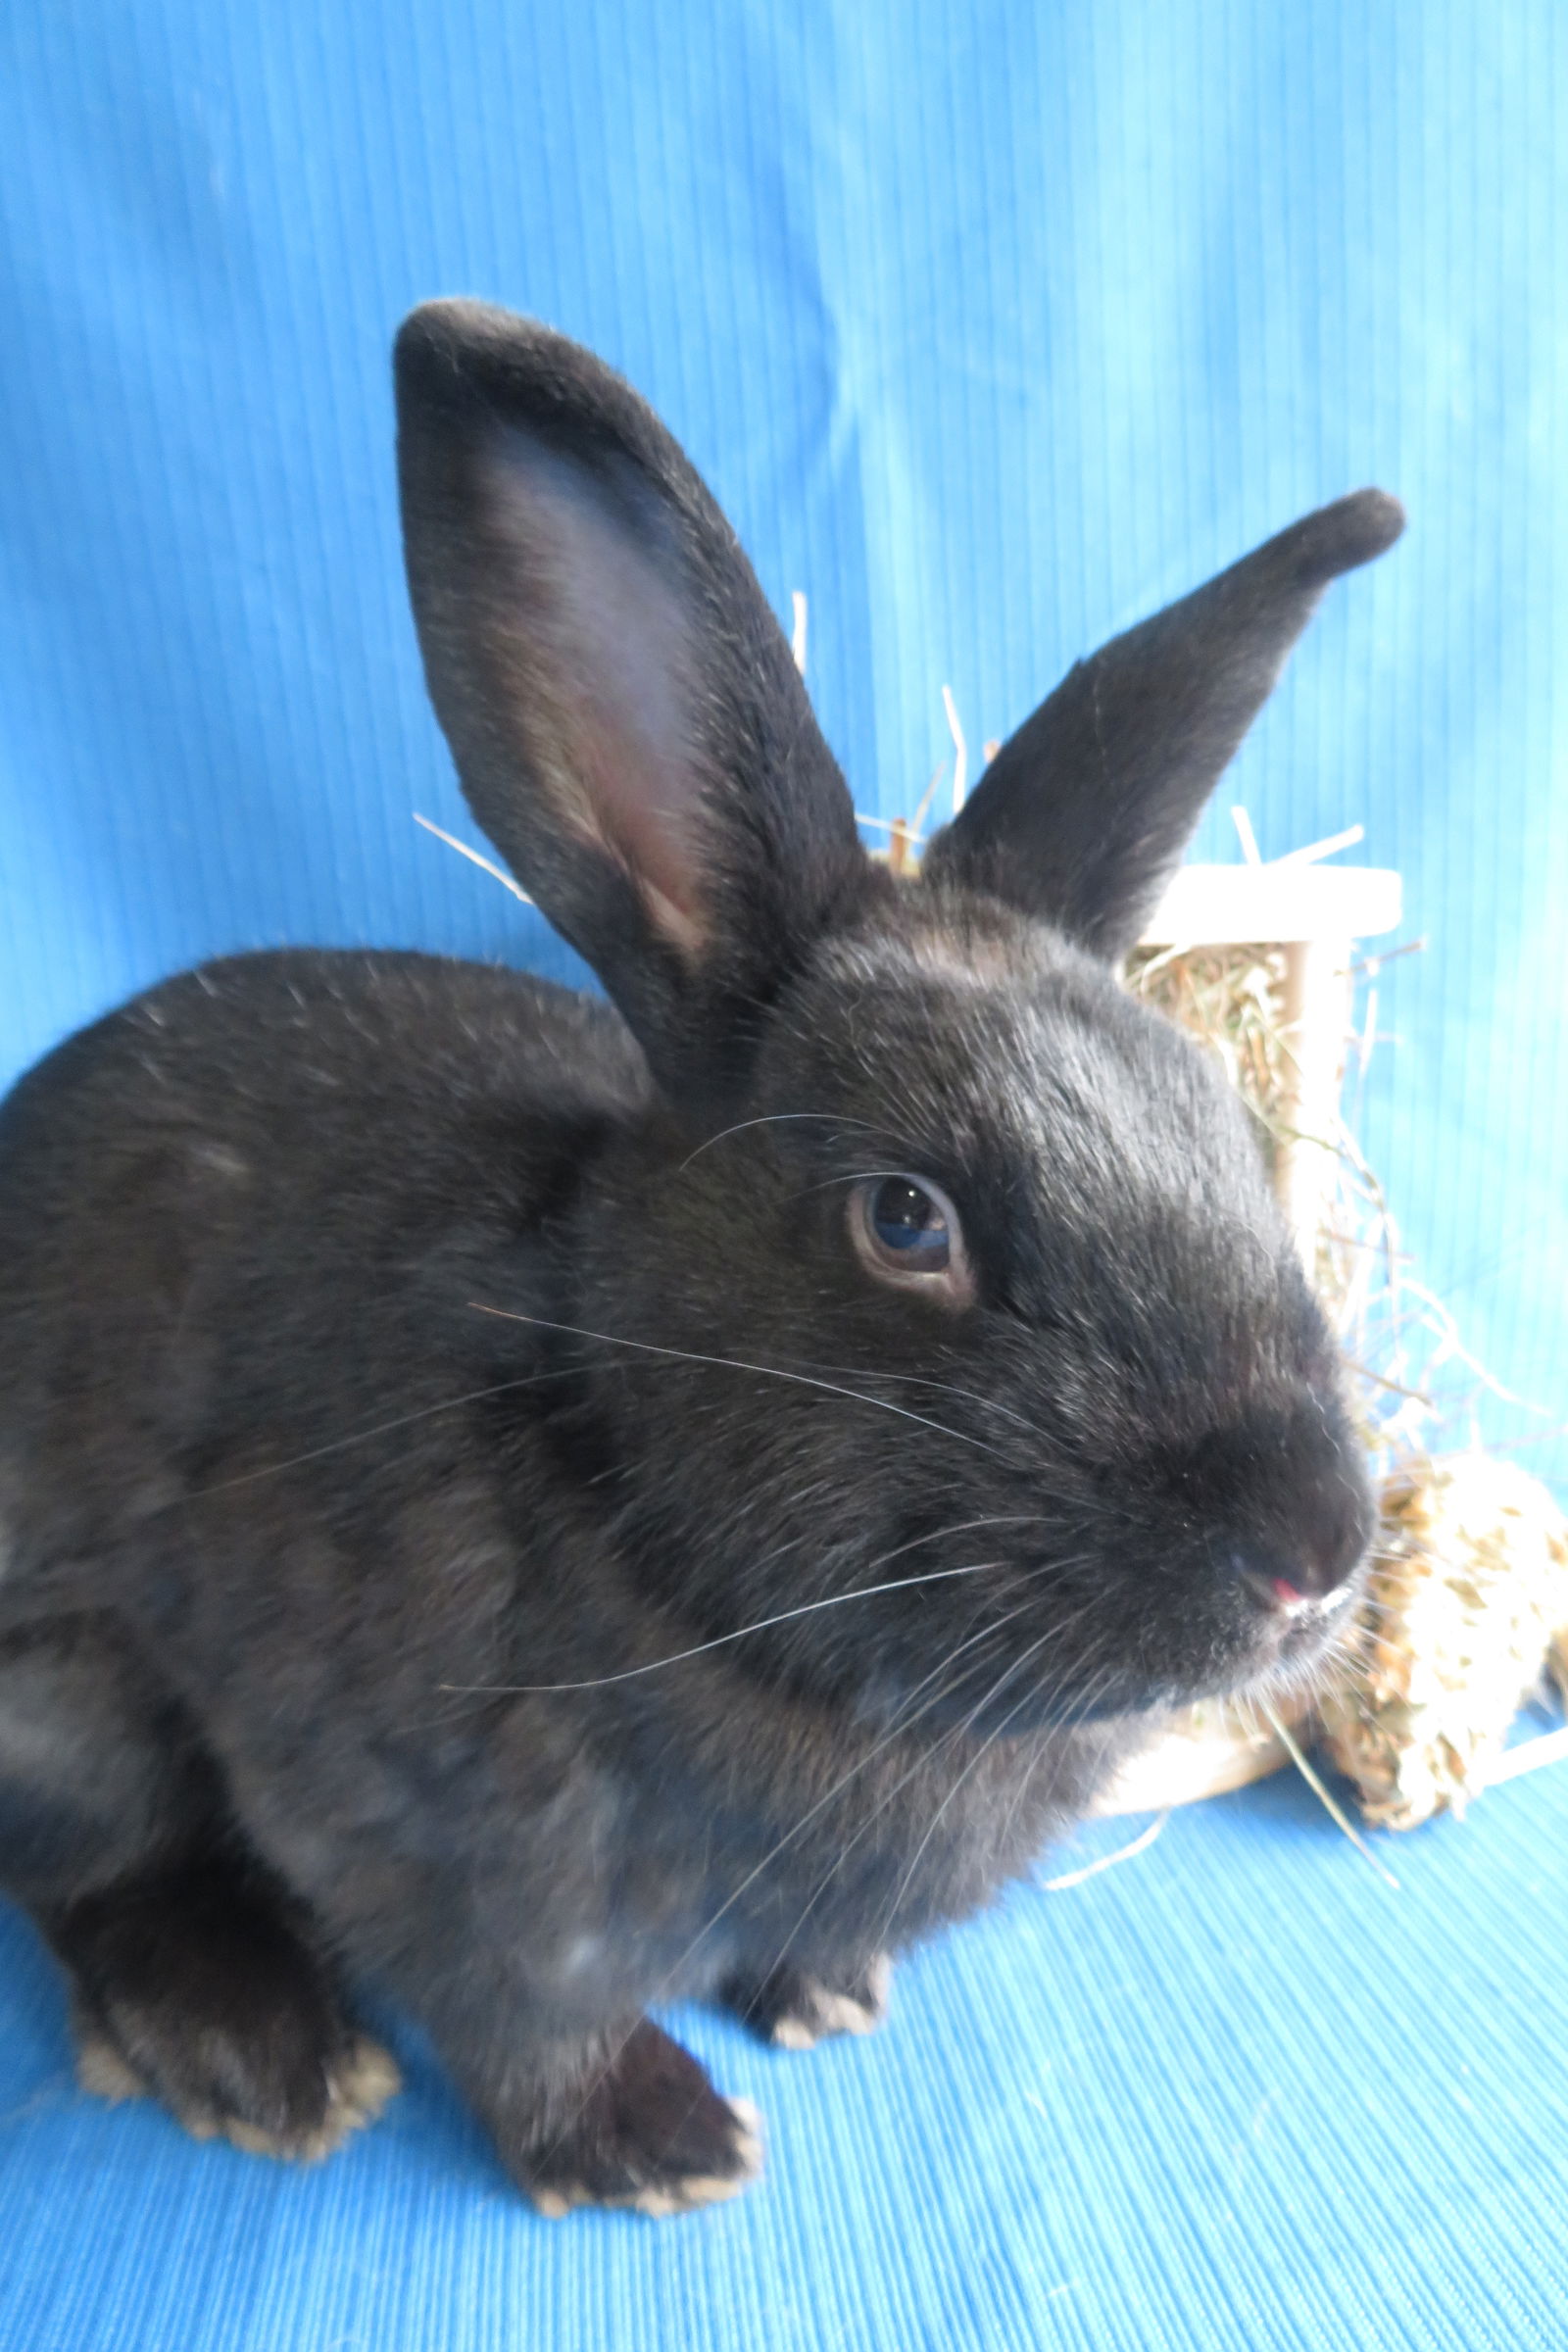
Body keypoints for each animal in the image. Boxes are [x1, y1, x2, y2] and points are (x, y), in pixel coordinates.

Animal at [0, 289, 1400, 2201]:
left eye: (1219, 1120)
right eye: (906, 1220)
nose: (1315, 1553)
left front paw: (825, 1996)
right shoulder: (433, 1854)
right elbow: (522, 2017)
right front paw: (657, 2145)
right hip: (61, 1690)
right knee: (93, 1865)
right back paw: (263, 2054)